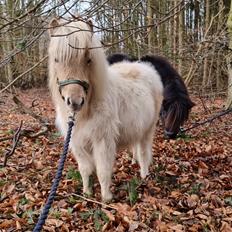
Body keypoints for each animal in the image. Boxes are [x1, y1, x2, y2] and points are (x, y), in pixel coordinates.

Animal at [47, 17, 162, 201]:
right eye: (56, 59)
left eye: (88, 59)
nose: (75, 102)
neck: (86, 111)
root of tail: (146, 68)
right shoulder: (77, 142)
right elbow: (85, 170)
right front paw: (87, 193)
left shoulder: (102, 141)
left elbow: (103, 171)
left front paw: (106, 198)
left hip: (148, 129)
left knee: (145, 152)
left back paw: (144, 176)